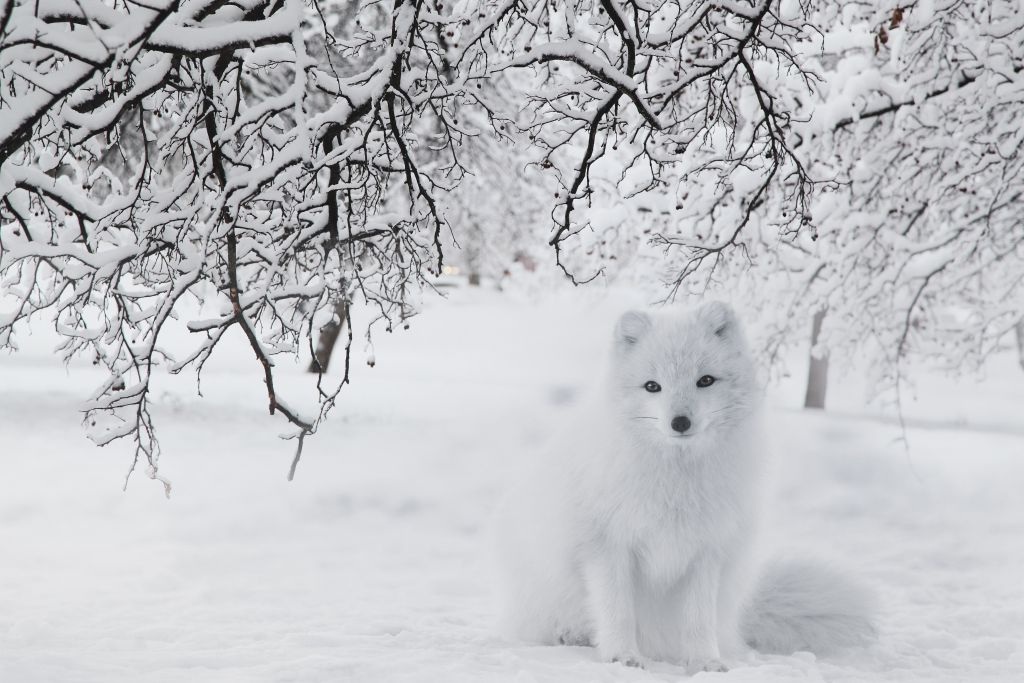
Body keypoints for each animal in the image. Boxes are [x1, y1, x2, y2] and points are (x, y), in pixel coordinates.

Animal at [493, 305, 872, 671]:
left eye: (705, 380)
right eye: (652, 386)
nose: (680, 422)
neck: (676, 481)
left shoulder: (706, 551)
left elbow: (699, 619)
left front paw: (705, 661)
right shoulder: (607, 546)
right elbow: (618, 611)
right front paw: (622, 657)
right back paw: (572, 635)